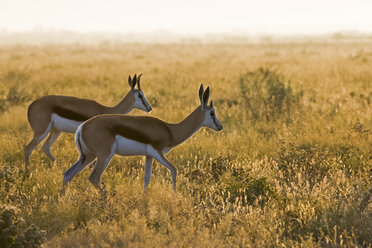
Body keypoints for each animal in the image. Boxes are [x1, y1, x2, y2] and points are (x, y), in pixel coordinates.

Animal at [62, 84, 222, 195]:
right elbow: (174, 169)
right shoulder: (158, 153)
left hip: (88, 156)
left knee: (68, 173)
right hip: (104, 156)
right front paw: (174, 196)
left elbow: (146, 179)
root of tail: (82, 127)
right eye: (212, 113)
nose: (220, 126)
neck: (170, 130)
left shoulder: (149, 156)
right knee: (94, 177)